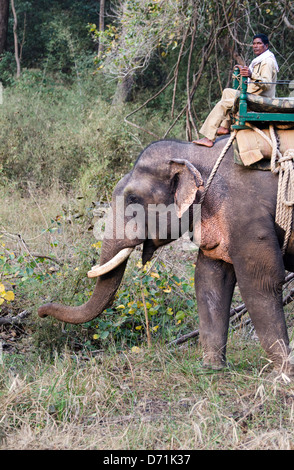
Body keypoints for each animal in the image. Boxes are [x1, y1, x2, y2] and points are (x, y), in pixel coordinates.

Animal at [38, 135, 294, 374]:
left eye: (133, 200)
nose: (40, 312)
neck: (193, 152)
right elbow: (210, 279)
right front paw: (212, 369)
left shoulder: (247, 218)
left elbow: (261, 282)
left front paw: (281, 375)